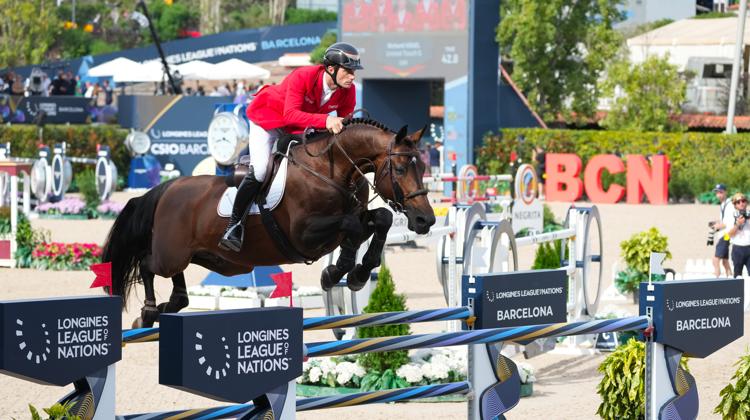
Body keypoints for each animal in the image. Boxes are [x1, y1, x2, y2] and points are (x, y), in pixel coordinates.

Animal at [103, 118, 438, 328]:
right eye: (399, 168)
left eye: (423, 167)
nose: (425, 219)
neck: (332, 170)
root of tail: (167, 188)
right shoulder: (305, 235)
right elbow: (353, 230)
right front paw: (337, 273)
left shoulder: (354, 216)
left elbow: (380, 219)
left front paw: (358, 272)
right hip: (170, 254)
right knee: (147, 265)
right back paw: (148, 313)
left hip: (203, 257)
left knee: (178, 288)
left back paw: (165, 308)